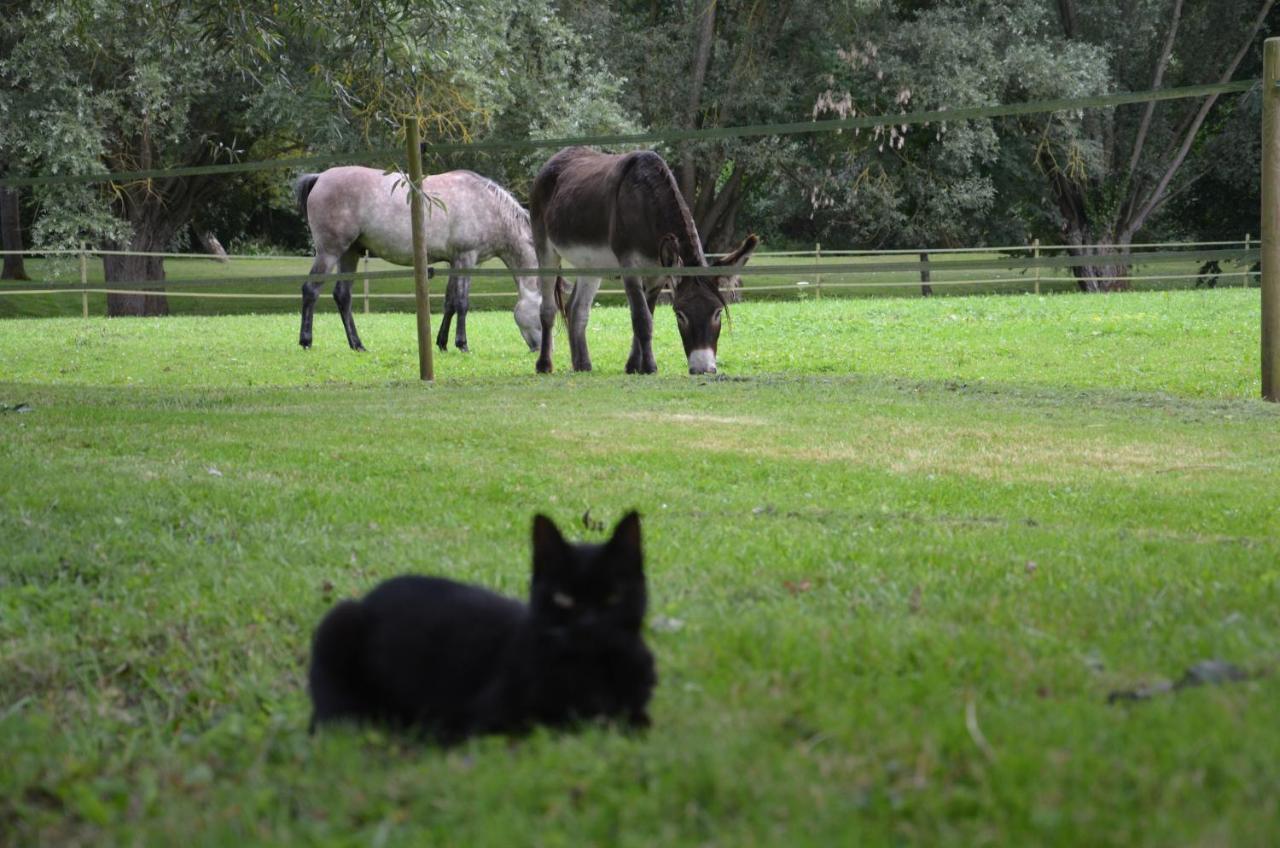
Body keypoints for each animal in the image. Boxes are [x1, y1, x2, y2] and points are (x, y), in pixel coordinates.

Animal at [305, 512, 655, 742]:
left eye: (613, 597)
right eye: (563, 599)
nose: (588, 624)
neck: (596, 673)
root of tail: (368, 597)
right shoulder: (488, 721)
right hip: (337, 623)